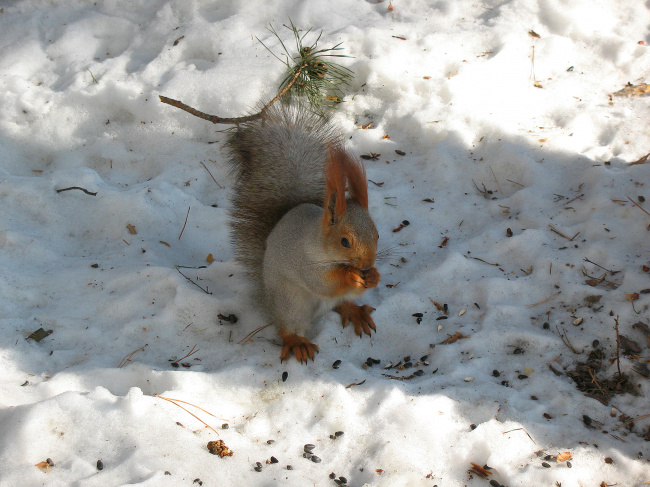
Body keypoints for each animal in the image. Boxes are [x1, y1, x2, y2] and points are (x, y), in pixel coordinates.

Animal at [227, 103, 380, 362]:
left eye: (377, 235)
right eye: (344, 241)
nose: (367, 265)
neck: (322, 245)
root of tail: (267, 298)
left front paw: (374, 276)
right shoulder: (305, 262)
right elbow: (324, 283)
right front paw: (352, 275)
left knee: (340, 303)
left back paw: (355, 311)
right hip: (291, 303)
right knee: (289, 327)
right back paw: (297, 342)